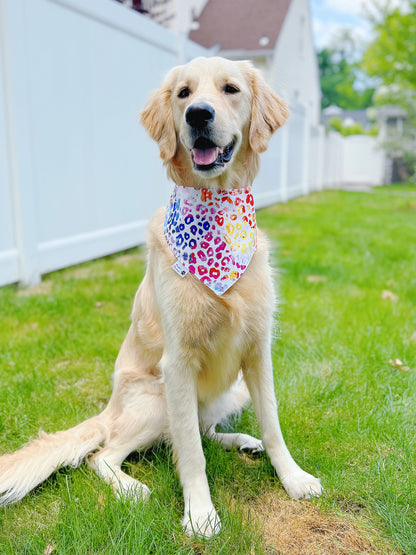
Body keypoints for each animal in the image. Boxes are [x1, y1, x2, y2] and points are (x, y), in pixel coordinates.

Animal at [0, 57, 322, 540]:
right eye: (183, 94)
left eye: (230, 89)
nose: (198, 115)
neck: (217, 209)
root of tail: (108, 410)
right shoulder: (177, 365)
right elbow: (190, 454)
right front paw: (200, 513)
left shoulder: (257, 352)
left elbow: (272, 426)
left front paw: (293, 477)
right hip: (154, 399)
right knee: (106, 454)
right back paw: (131, 488)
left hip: (232, 391)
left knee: (203, 430)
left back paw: (241, 441)